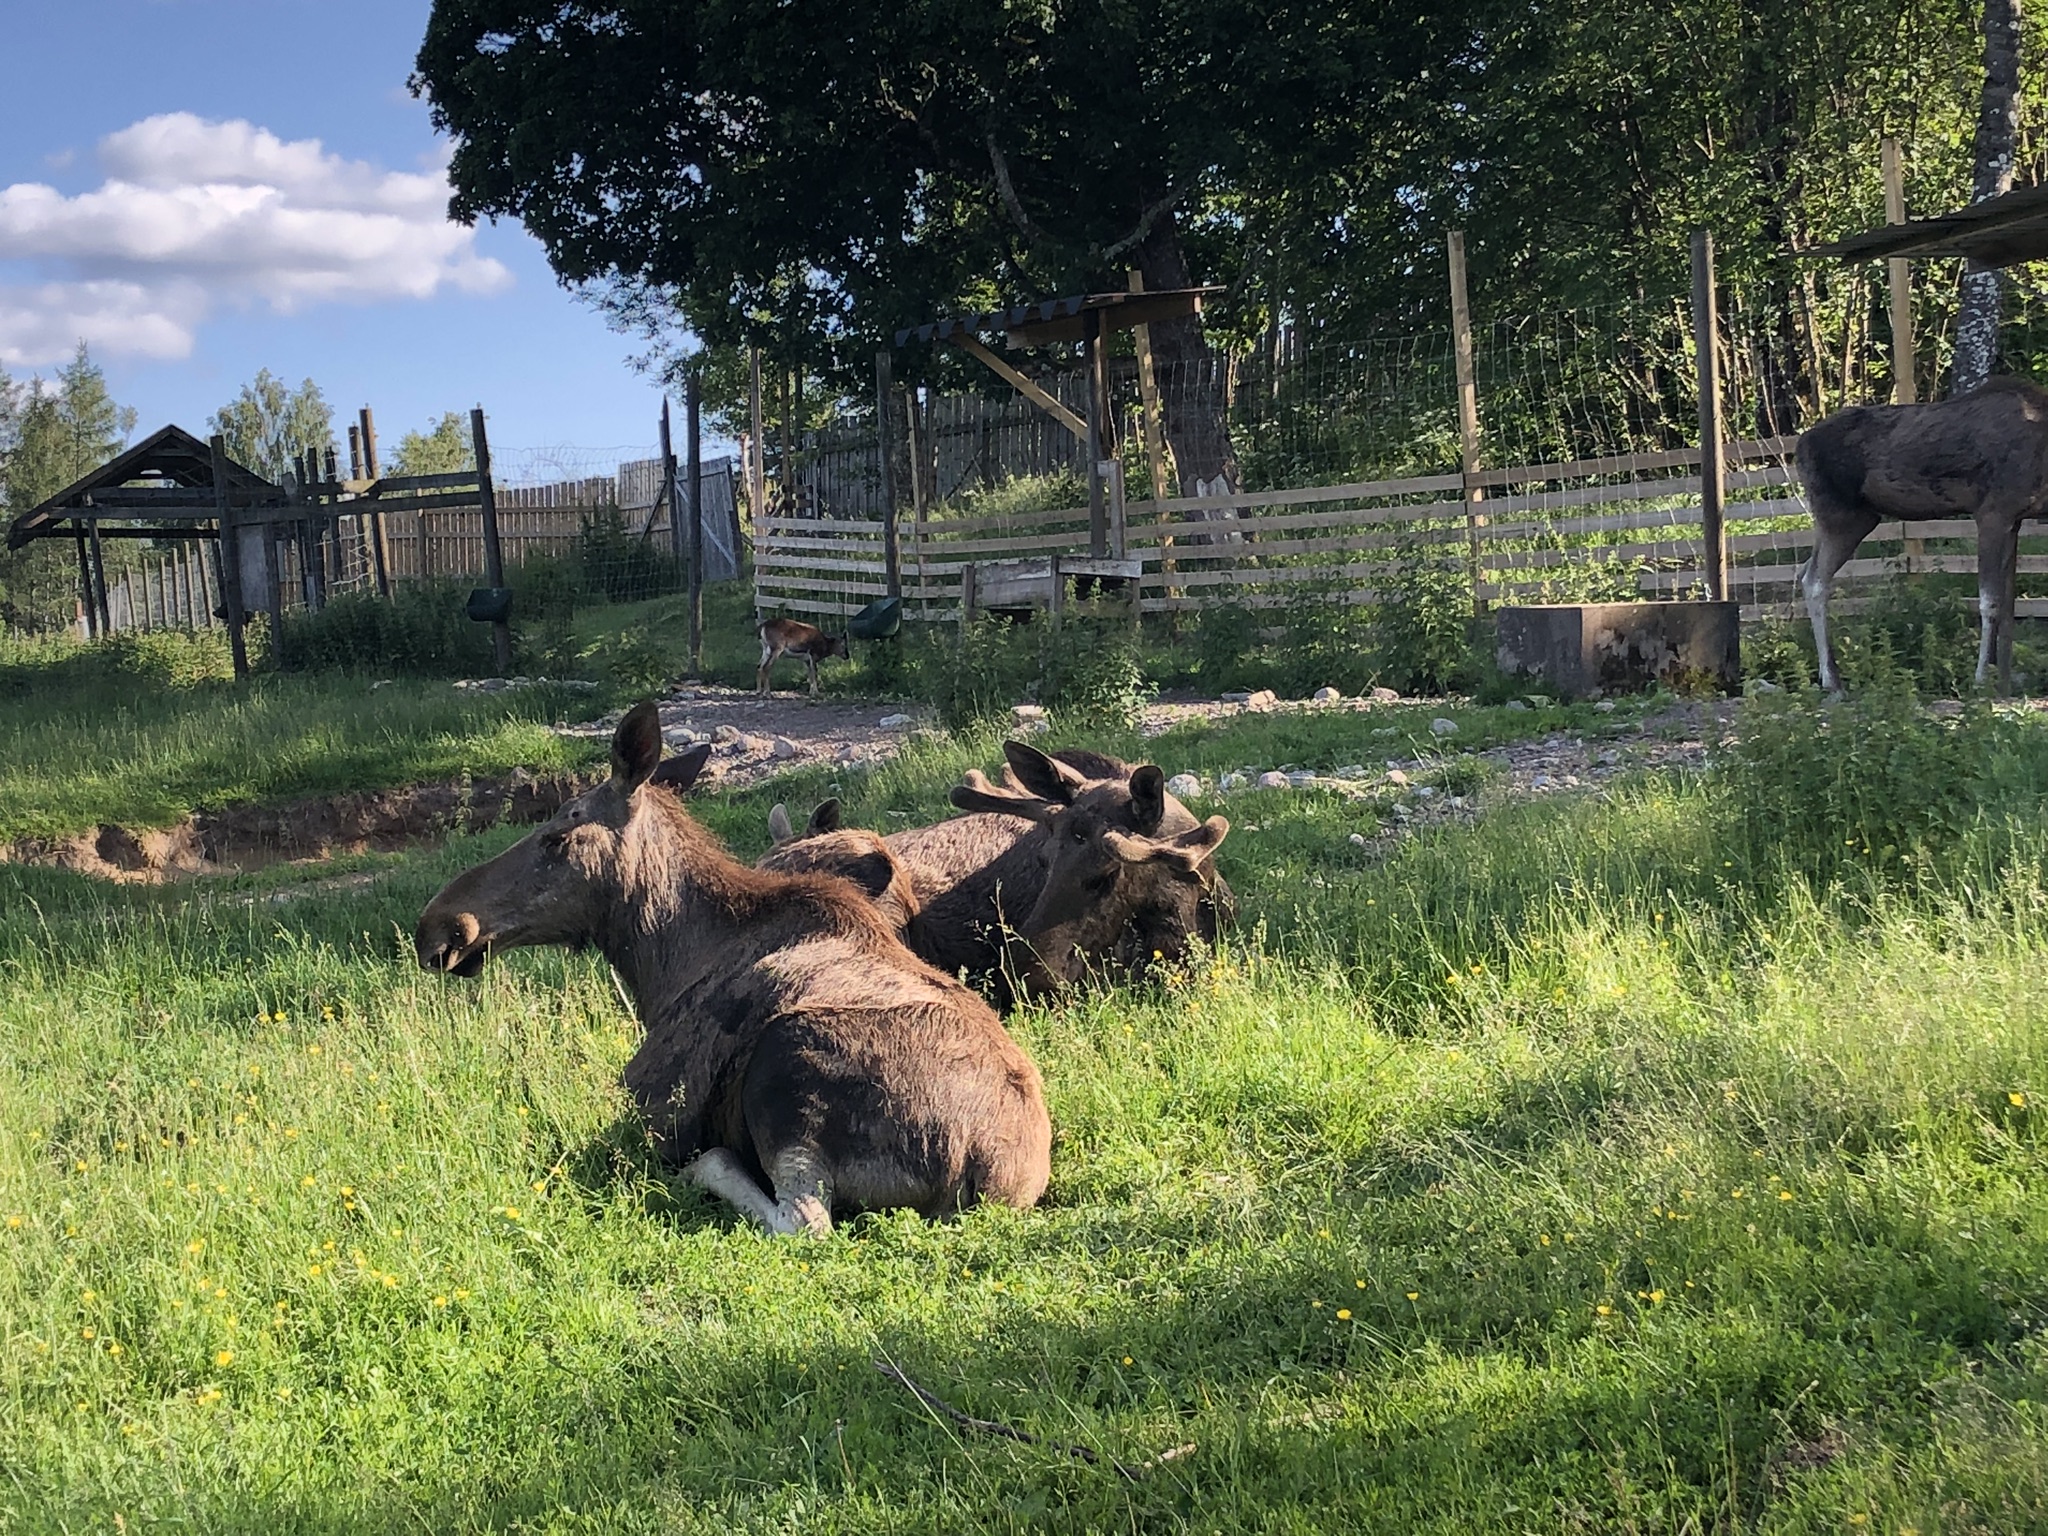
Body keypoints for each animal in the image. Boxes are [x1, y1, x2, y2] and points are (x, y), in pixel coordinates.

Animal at [415, 702, 1051, 1235]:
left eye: (556, 836)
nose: (440, 925)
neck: (663, 969)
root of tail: (986, 1173)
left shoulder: (653, 1110)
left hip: (787, 1066)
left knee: (802, 1219)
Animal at [1797, 376, 2048, 695]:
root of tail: (1799, 446)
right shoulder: (1993, 512)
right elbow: (1989, 601)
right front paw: (1980, 680)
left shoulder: (2015, 520)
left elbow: (2007, 606)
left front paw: (2003, 680)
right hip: (1842, 518)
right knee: (1814, 580)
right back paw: (1832, 681)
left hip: (1847, 520)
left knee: (1805, 570)